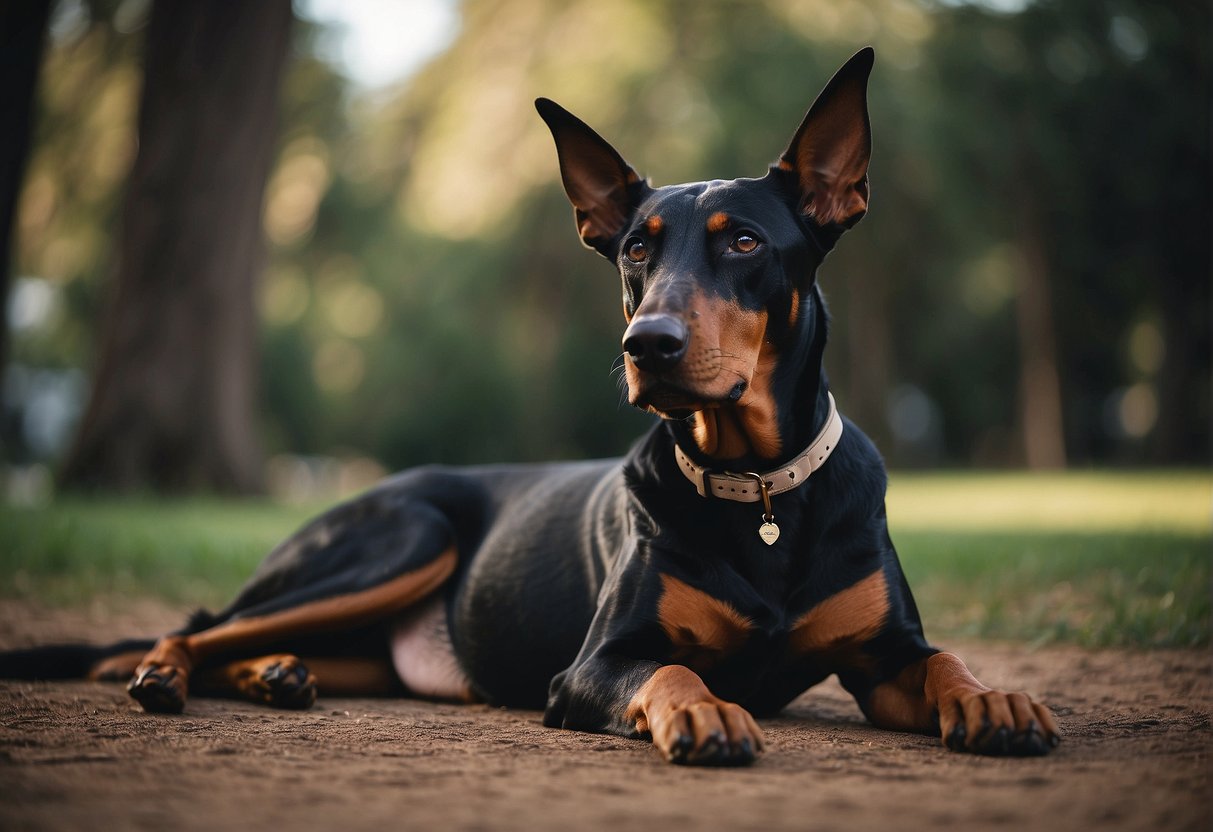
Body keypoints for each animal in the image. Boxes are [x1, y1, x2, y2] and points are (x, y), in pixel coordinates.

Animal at [0, 50, 1057, 771]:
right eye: (636, 248)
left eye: (746, 242)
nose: (648, 345)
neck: (757, 488)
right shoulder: (592, 667)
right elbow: (668, 670)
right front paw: (704, 710)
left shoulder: (885, 656)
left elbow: (943, 661)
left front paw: (996, 699)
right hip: (400, 540)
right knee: (200, 624)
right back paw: (174, 672)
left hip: (377, 640)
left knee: (253, 639)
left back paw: (277, 675)